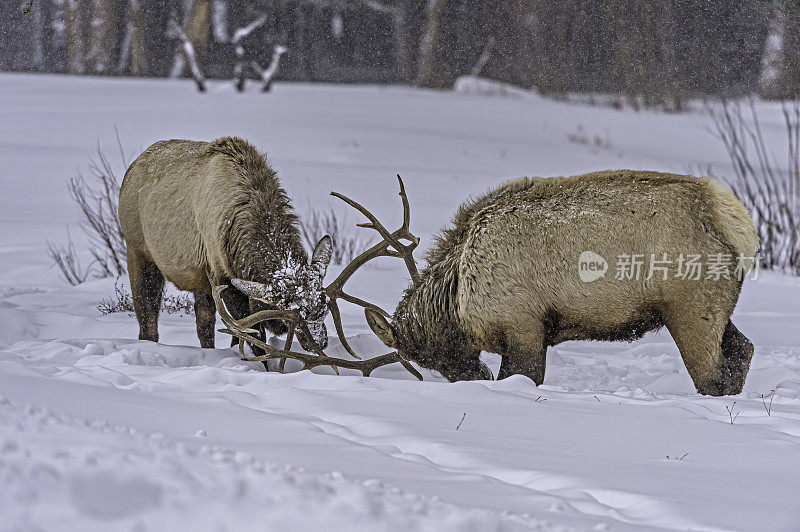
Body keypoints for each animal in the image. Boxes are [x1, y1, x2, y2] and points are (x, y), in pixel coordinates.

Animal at [366, 170, 760, 394]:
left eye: (433, 355)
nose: (472, 377)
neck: (459, 295)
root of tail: (737, 223)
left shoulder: (523, 327)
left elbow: (524, 377)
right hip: (714, 308)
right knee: (742, 350)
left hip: (690, 308)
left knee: (712, 376)